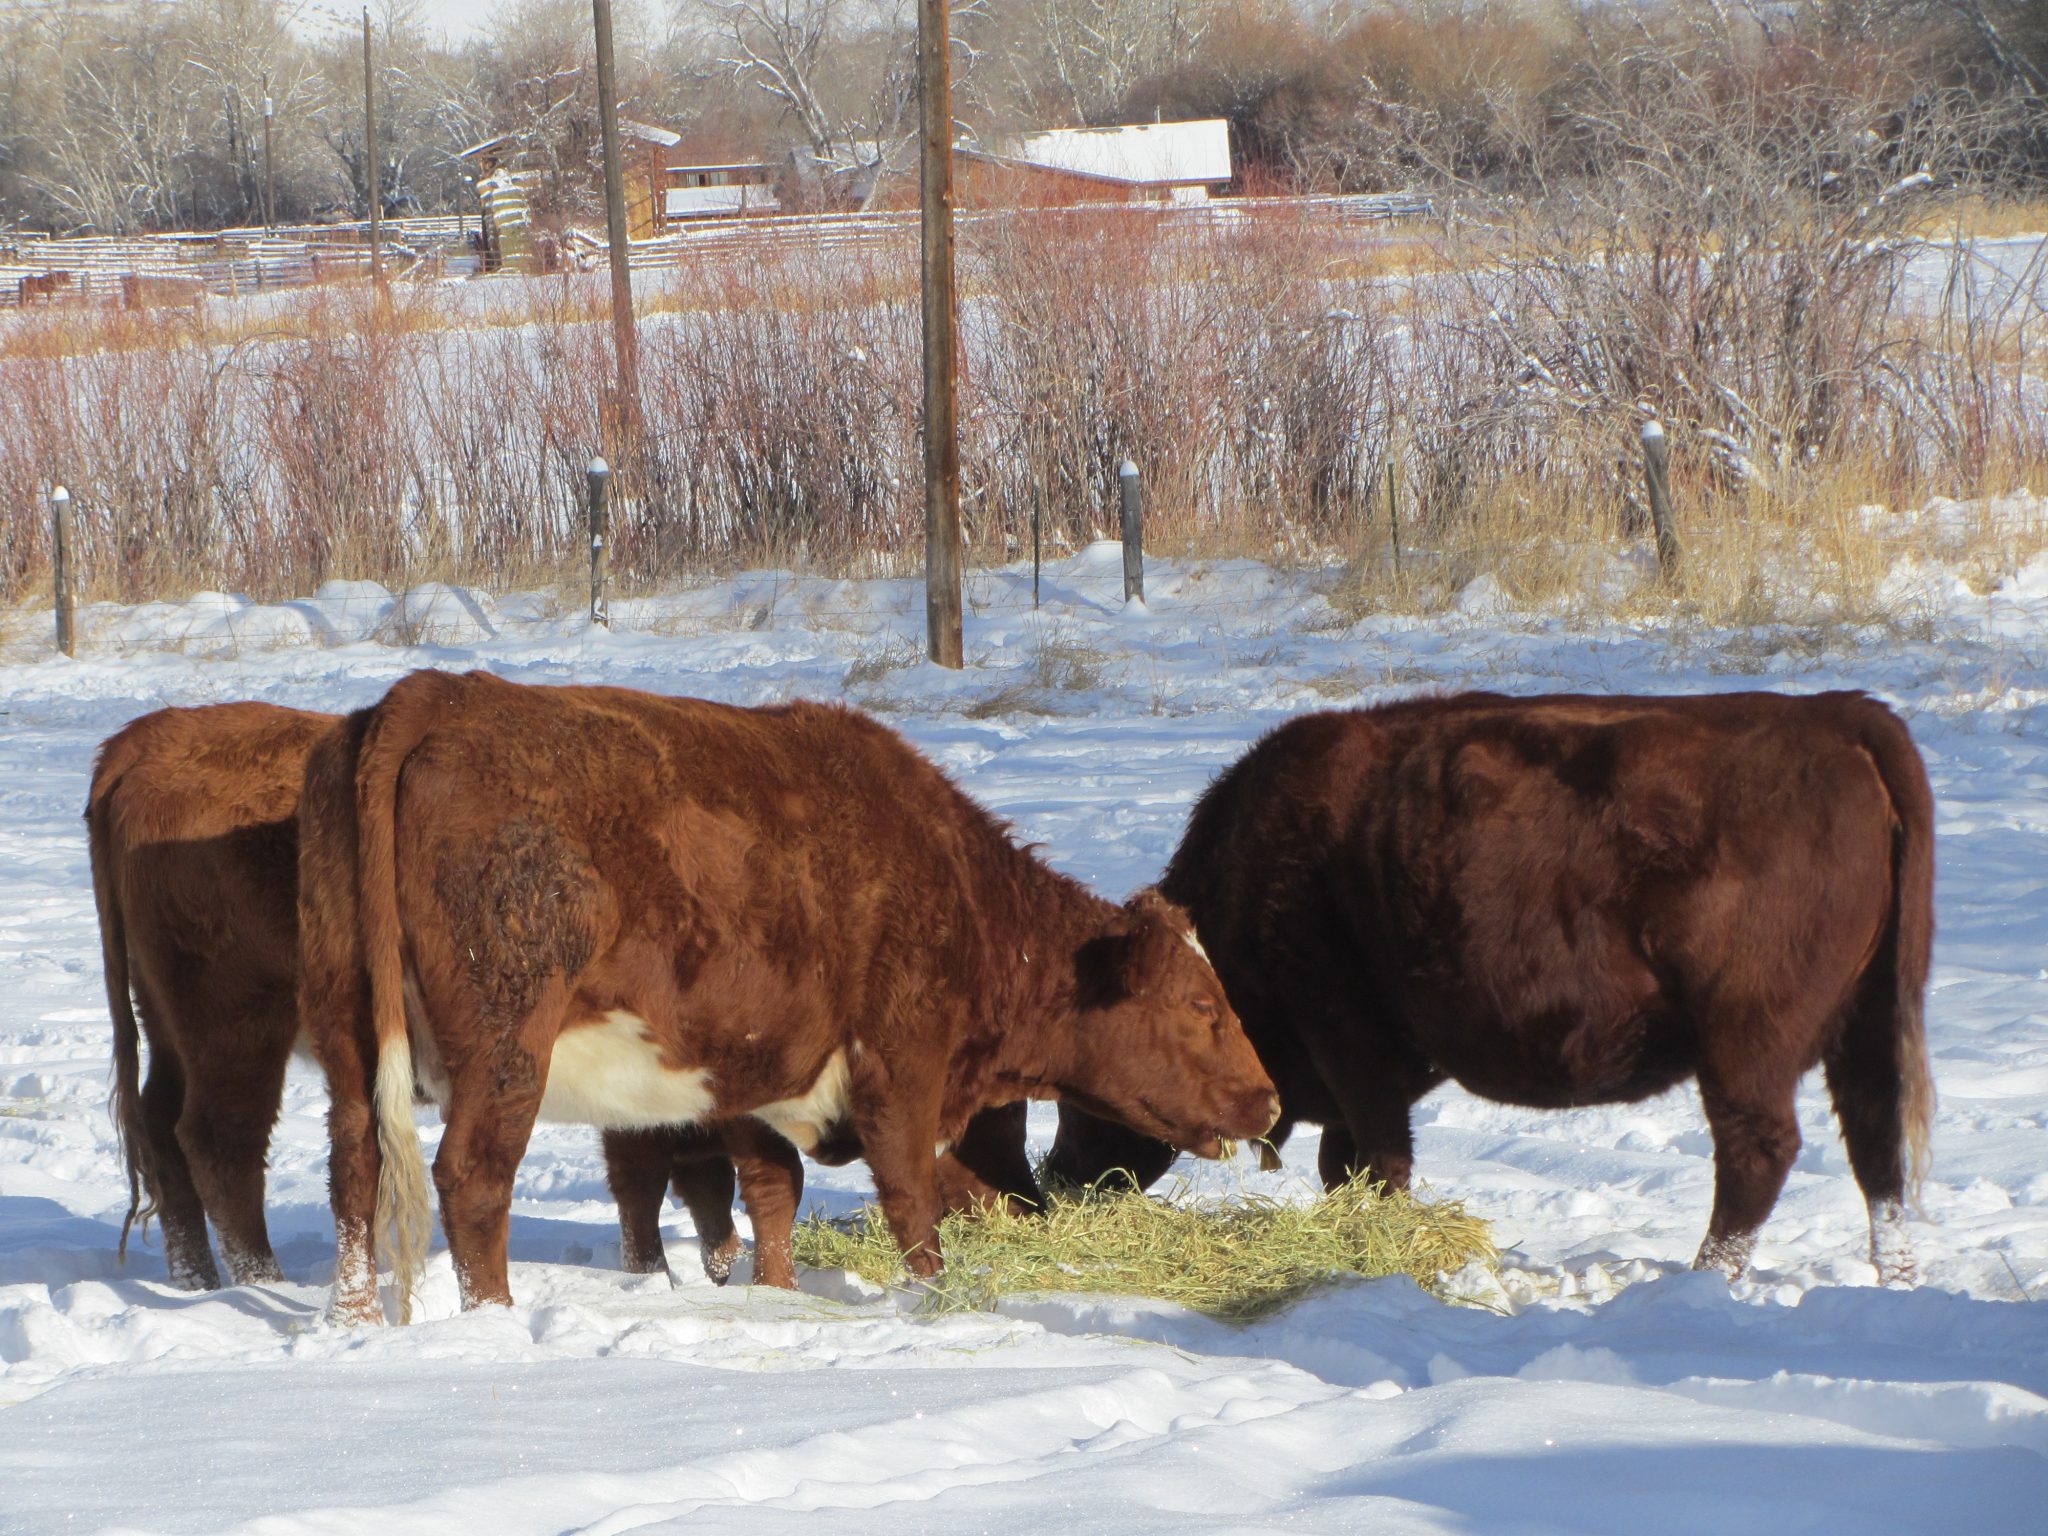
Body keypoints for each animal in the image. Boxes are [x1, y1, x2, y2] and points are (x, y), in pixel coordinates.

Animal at [85, 702, 802, 1292]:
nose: (721, 1257)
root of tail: (142, 739)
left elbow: (651, 1167)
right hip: (237, 1029)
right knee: (220, 1141)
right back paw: (263, 1282)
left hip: (168, 1024)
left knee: (162, 1128)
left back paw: (199, 1281)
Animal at [299, 669, 1278, 1323]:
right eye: (1201, 1006)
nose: (1269, 1101)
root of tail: (432, 695)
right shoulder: (900, 1065)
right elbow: (911, 1197)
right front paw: (933, 1297)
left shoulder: (754, 1070)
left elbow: (774, 1191)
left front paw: (774, 1293)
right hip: (508, 1046)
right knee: (471, 1179)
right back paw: (494, 1319)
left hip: (351, 1040)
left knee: (355, 1171)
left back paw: (353, 1320)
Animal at [1043, 691, 1936, 1285]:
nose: (1057, 1178)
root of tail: (1837, 716)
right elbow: (1349, 1164)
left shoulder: (1349, 1044)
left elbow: (1377, 1160)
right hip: (1865, 1027)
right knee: (1877, 1155)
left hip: (1744, 1044)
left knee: (1759, 1153)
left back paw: (1702, 1281)